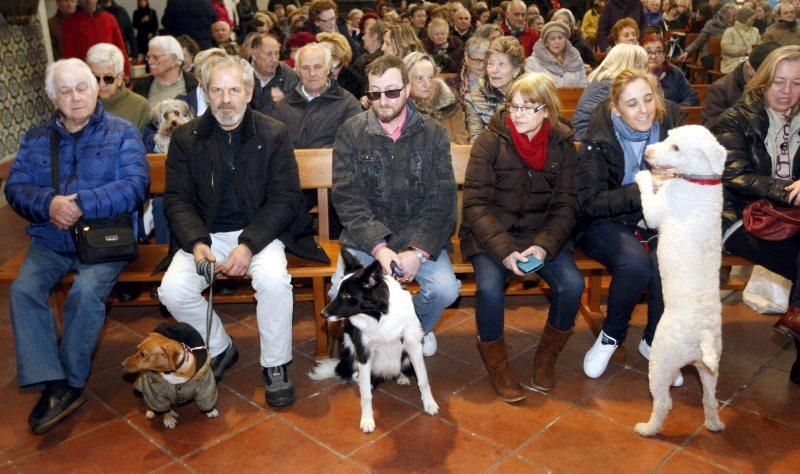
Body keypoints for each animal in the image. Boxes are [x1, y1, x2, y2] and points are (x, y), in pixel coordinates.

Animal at [636, 125, 728, 436]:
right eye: (669, 136)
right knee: (710, 399)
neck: (702, 181)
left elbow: (648, 199)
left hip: (660, 359)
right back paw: (714, 424)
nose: (648, 152)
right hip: (709, 370)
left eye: (676, 147)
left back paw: (647, 429)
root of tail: (703, 337)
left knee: (663, 403)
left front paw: (643, 176)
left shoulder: (656, 211)